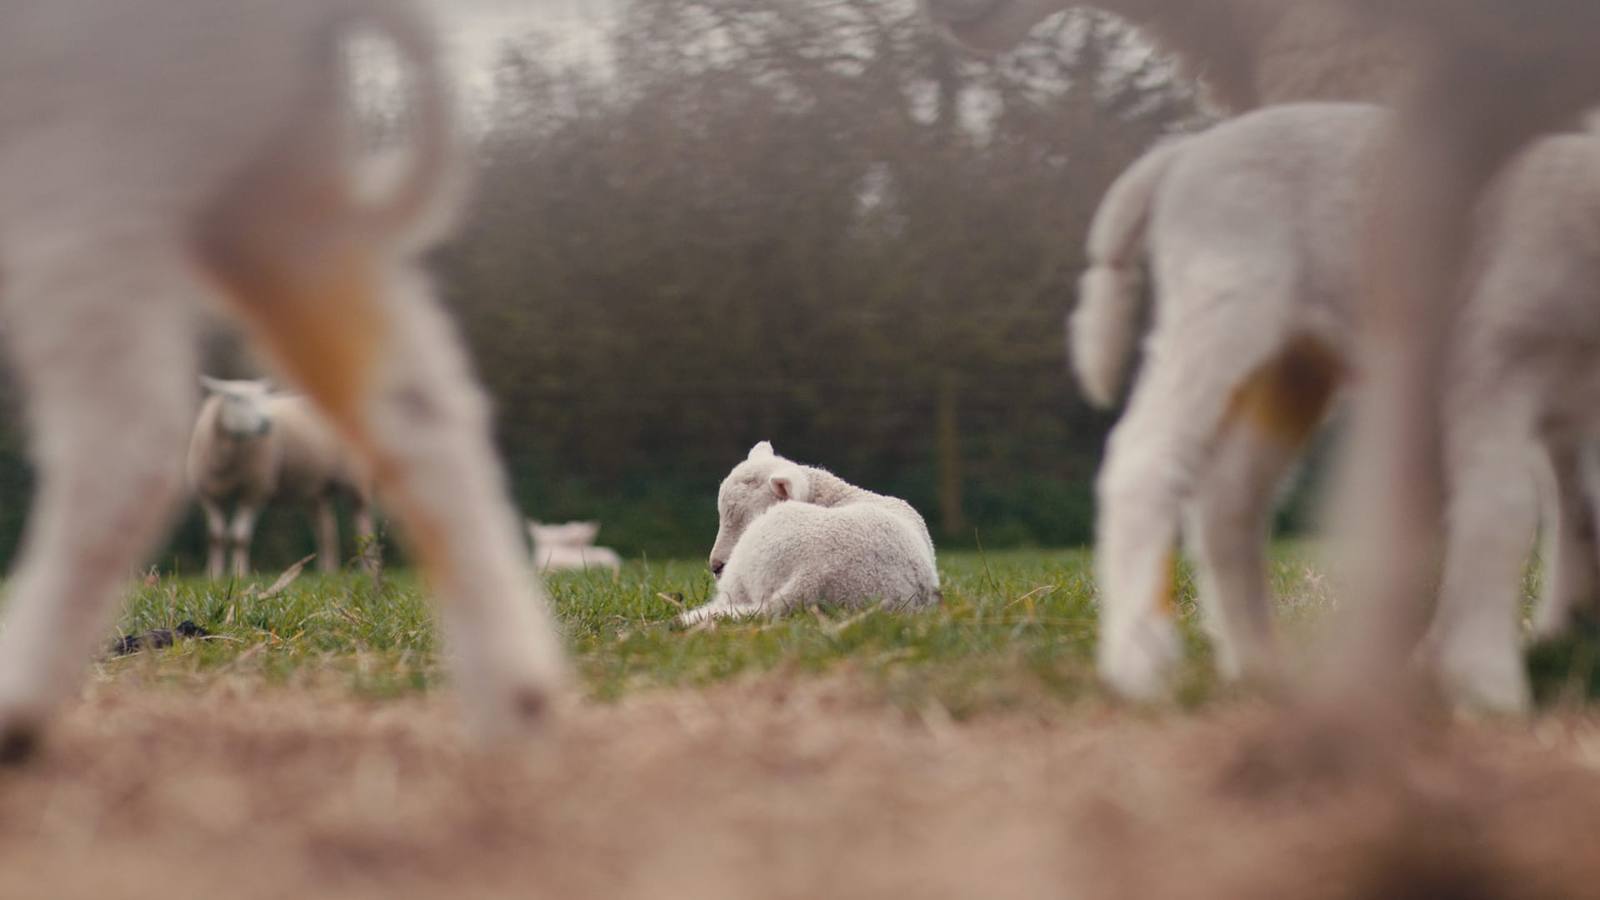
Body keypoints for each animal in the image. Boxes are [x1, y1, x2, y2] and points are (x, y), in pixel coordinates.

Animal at [188, 376, 377, 580]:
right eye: (235, 398)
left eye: (264, 397)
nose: (265, 424)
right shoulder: (209, 495)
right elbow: (215, 537)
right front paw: (213, 574)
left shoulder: (255, 490)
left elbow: (240, 537)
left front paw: (240, 573)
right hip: (315, 489)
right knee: (326, 530)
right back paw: (327, 571)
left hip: (353, 479)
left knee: (362, 520)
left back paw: (367, 568)